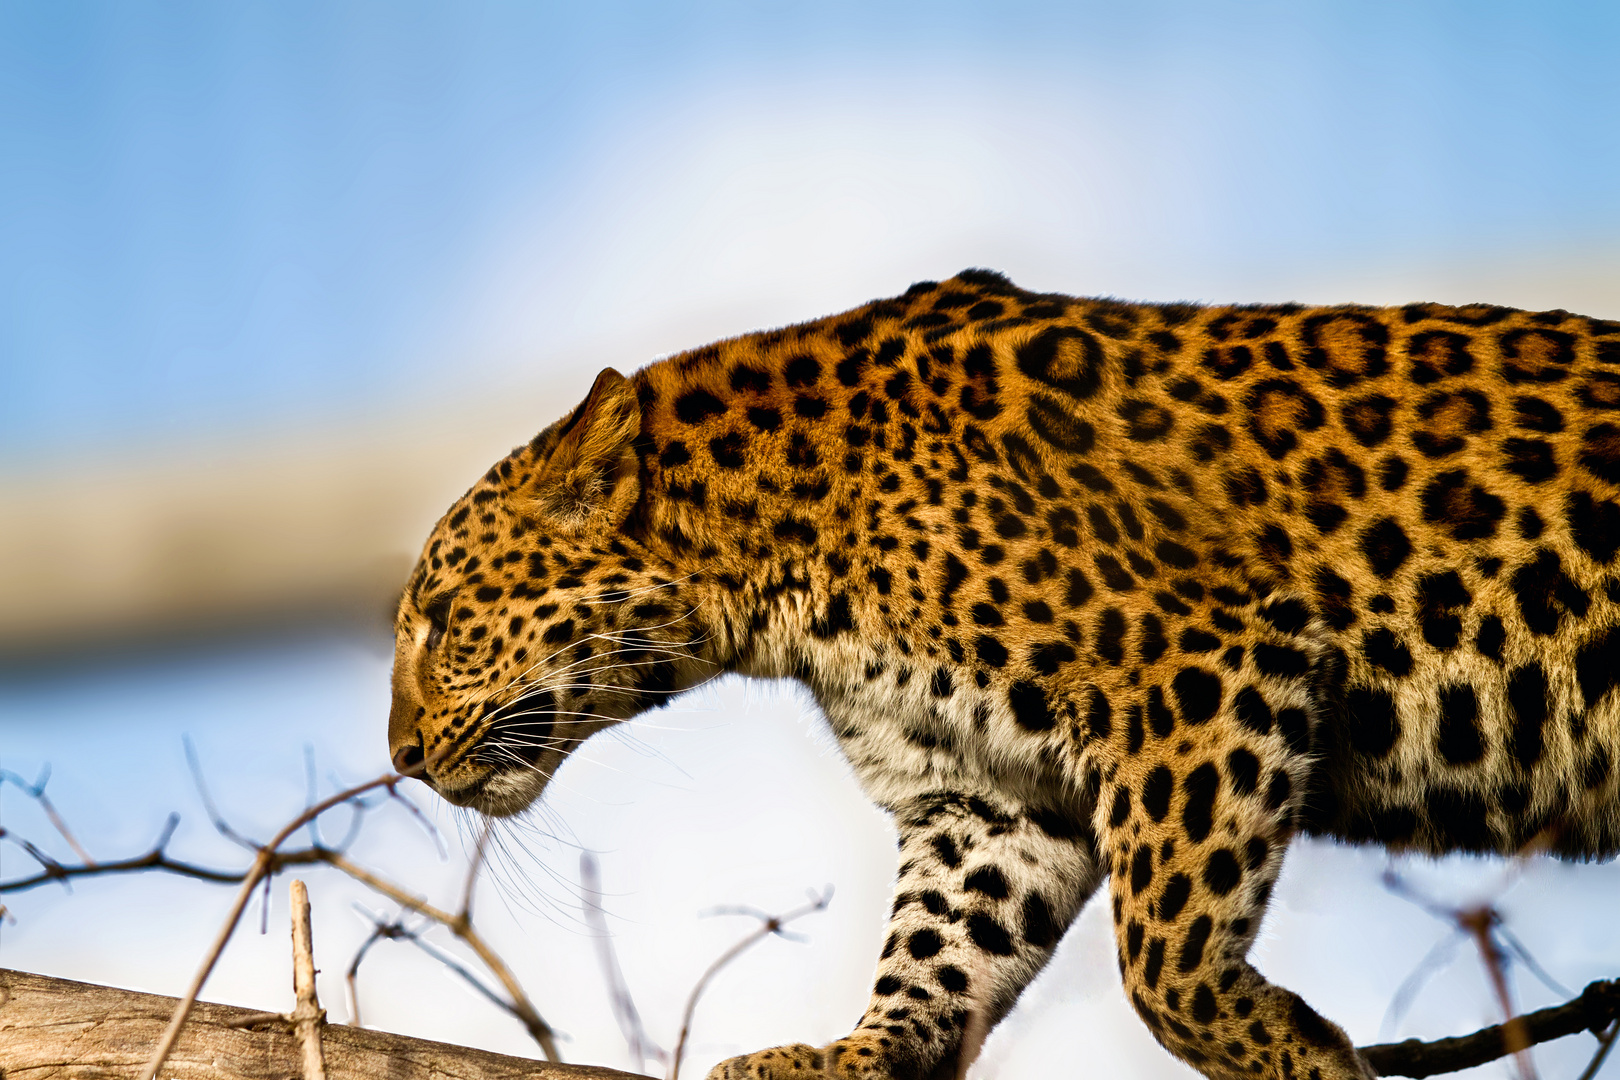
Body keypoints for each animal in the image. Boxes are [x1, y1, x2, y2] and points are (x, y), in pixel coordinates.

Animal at [382, 270, 1620, 1080]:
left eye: (439, 621)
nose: (398, 760)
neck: (774, 568)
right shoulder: (984, 796)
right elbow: (941, 946)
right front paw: (854, 1056)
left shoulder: (1201, 677)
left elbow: (1163, 957)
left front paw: (1298, 1052)